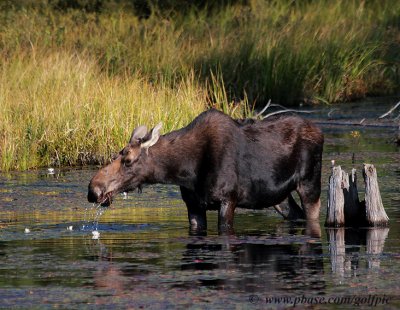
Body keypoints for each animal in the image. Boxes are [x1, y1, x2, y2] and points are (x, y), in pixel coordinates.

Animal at [88, 109, 324, 232]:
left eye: (128, 160)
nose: (94, 190)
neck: (184, 170)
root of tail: (320, 131)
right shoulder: (193, 206)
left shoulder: (228, 199)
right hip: (279, 197)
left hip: (310, 183)